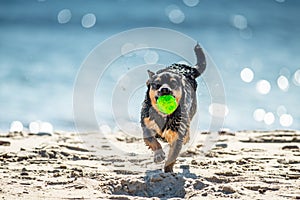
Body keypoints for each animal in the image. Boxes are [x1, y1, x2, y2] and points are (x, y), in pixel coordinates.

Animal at [141, 43, 206, 172]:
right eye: (157, 84)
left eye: (173, 84)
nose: (165, 89)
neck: (163, 115)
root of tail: (188, 69)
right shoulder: (146, 125)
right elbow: (152, 140)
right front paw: (159, 154)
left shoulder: (177, 136)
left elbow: (172, 156)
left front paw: (168, 171)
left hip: (191, 111)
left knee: (188, 126)